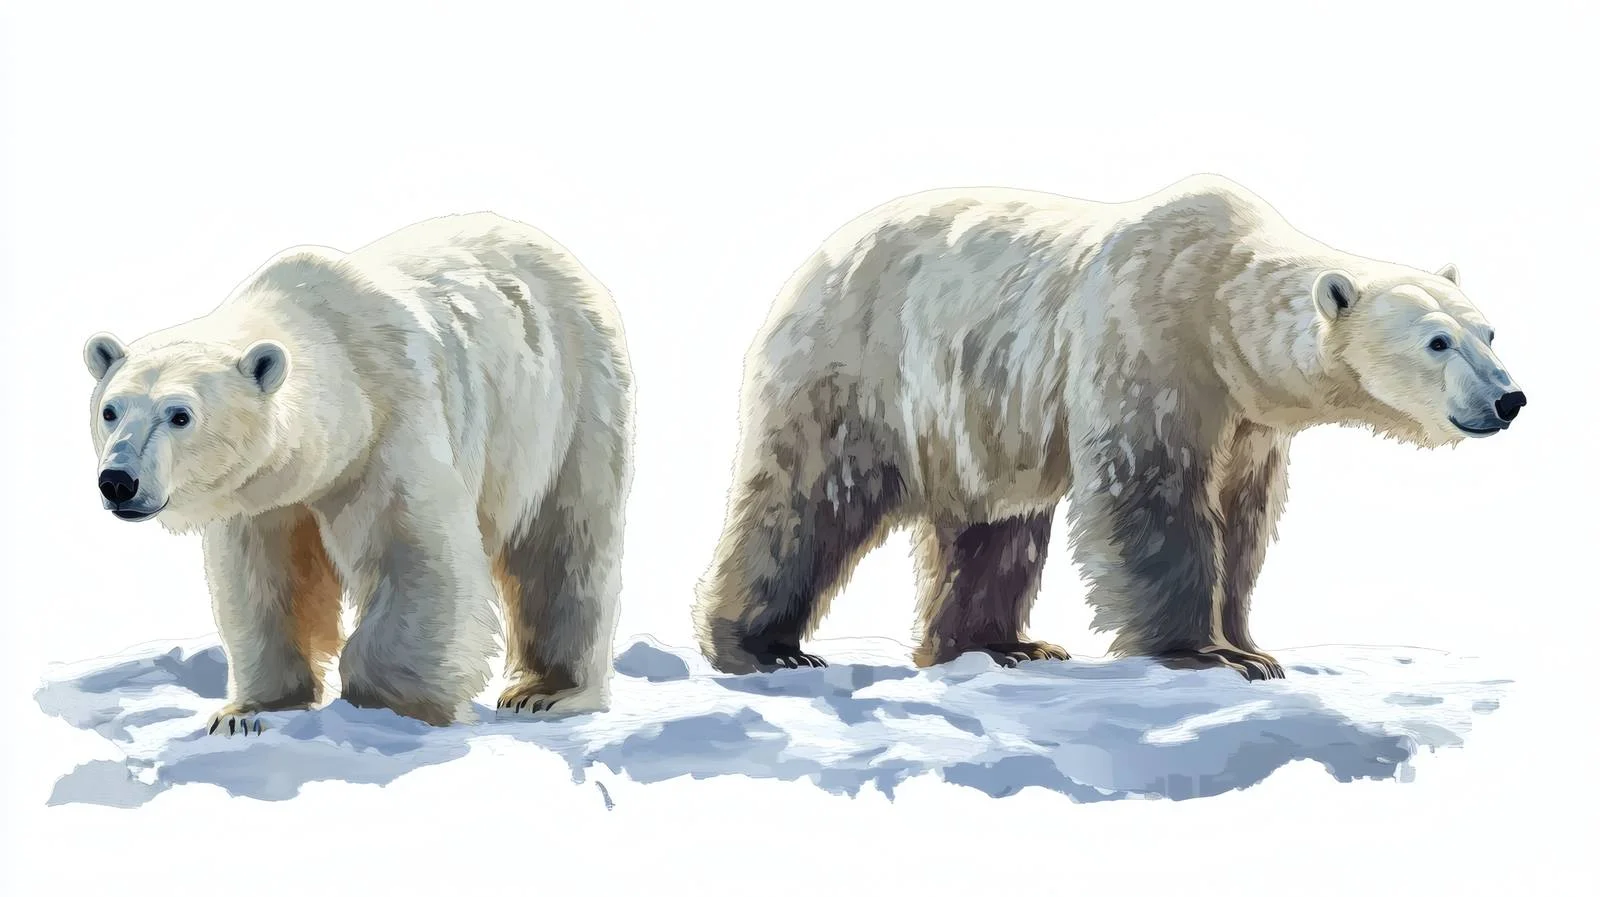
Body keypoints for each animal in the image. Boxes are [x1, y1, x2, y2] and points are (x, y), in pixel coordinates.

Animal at [83, 212, 634, 732]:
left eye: (180, 415)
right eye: (110, 410)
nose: (118, 482)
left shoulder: (390, 429)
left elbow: (415, 558)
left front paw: (389, 708)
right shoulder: (265, 496)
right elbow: (264, 584)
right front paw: (248, 712)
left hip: (569, 402)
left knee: (564, 541)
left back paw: (547, 692)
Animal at [692, 174, 1526, 679]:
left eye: (1489, 331)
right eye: (1438, 341)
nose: (1509, 399)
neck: (1221, 301)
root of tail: (813, 261)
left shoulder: (1249, 420)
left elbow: (1244, 519)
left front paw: (1253, 645)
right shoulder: (1152, 343)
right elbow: (1150, 497)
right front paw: (1212, 654)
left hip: (978, 415)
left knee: (995, 526)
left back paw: (1004, 644)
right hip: (862, 367)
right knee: (809, 497)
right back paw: (762, 647)